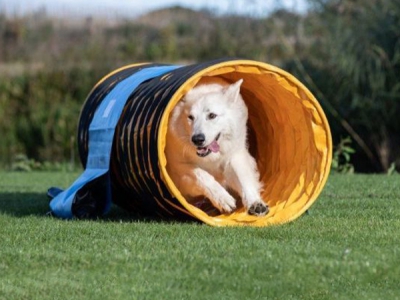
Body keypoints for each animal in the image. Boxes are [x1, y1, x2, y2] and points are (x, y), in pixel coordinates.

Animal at [166, 78, 268, 217]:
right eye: (190, 117)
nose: (197, 139)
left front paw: (255, 202)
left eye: (212, 115)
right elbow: (202, 175)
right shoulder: (180, 167)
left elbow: (243, 178)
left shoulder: (234, 156)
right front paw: (223, 199)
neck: (211, 157)